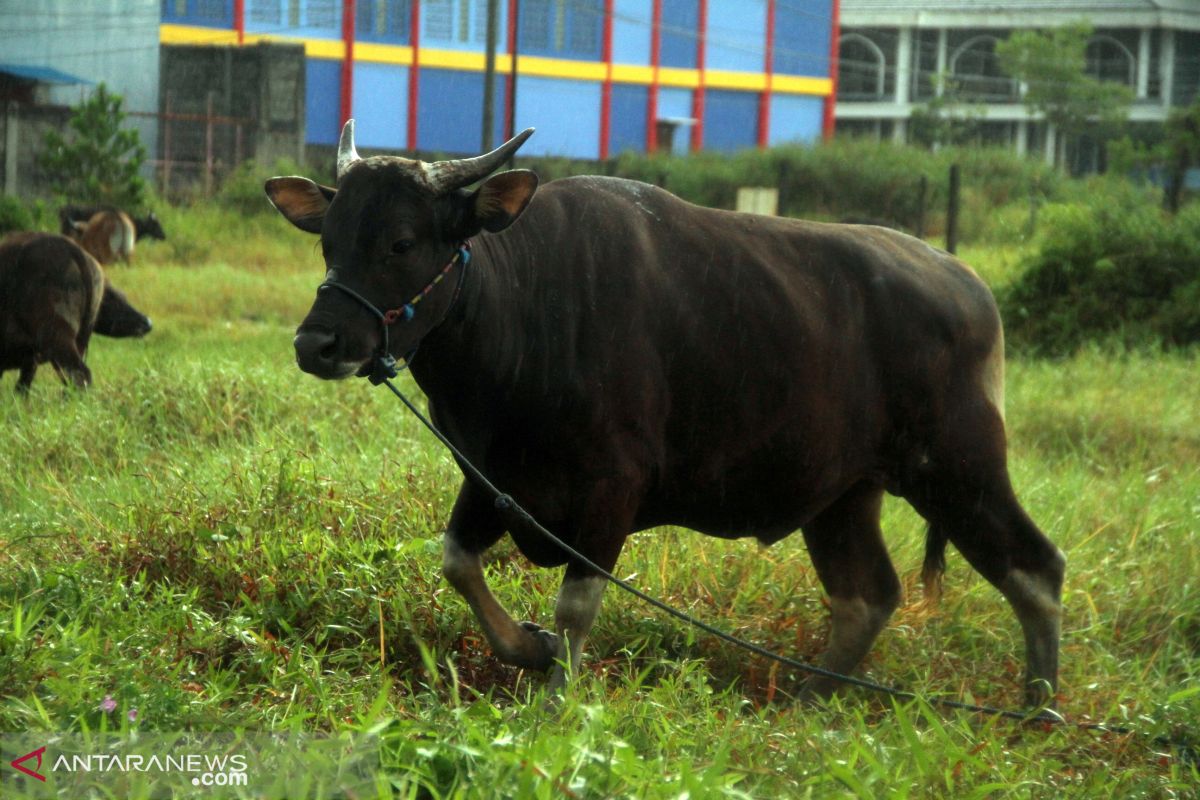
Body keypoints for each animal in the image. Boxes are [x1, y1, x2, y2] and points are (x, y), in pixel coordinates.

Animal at [0, 230, 154, 393]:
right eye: (113, 298)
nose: (147, 321)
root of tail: (74, 250)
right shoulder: (30, 362)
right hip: (77, 342)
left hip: (57, 336)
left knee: (79, 374)